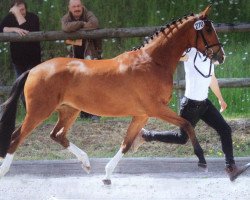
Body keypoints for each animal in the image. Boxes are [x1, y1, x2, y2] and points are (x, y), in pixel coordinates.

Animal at [0, 5, 225, 184]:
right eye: (207, 29)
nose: (220, 56)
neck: (152, 62)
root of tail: (34, 69)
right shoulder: (156, 109)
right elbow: (187, 125)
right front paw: (202, 161)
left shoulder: (142, 114)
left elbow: (126, 143)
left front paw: (107, 175)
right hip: (39, 112)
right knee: (16, 137)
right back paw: (4, 171)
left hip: (69, 110)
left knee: (57, 135)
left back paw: (86, 163)